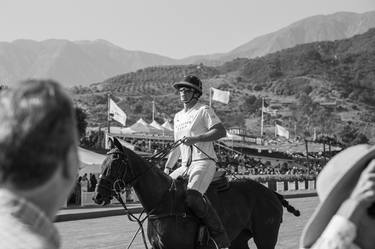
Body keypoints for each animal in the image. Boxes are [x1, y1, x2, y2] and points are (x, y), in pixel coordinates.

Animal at [93, 138, 300, 249]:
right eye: (102, 163)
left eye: (115, 163)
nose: (97, 196)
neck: (162, 203)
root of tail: (271, 193)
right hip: (239, 238)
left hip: (266, 236)